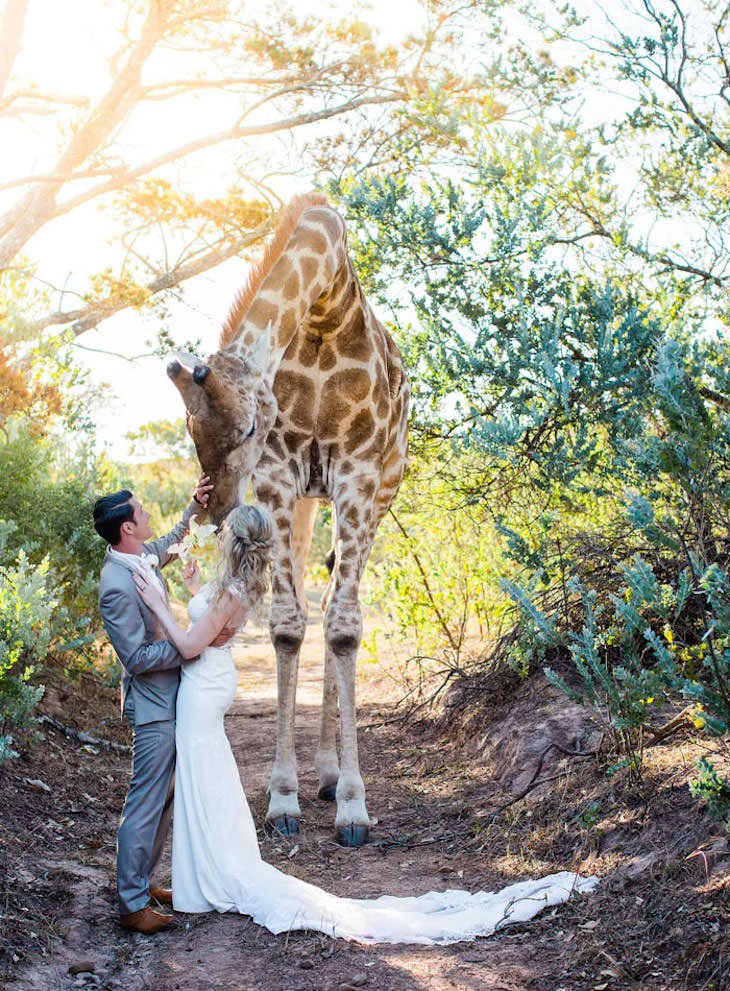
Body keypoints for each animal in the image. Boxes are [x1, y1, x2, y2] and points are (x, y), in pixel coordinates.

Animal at [165, 198, 410, 848]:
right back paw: (317, 775)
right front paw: (281, 800)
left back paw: (331, 776)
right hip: (305, 502)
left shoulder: (356, 470)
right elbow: (287, 626)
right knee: (311, 597)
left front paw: (354, 806)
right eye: (191, 431)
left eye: (249, 426)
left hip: (382, 489)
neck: (326, 311)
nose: (216, 504)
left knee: (336, 605)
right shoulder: (279, 475)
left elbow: (345, 626)